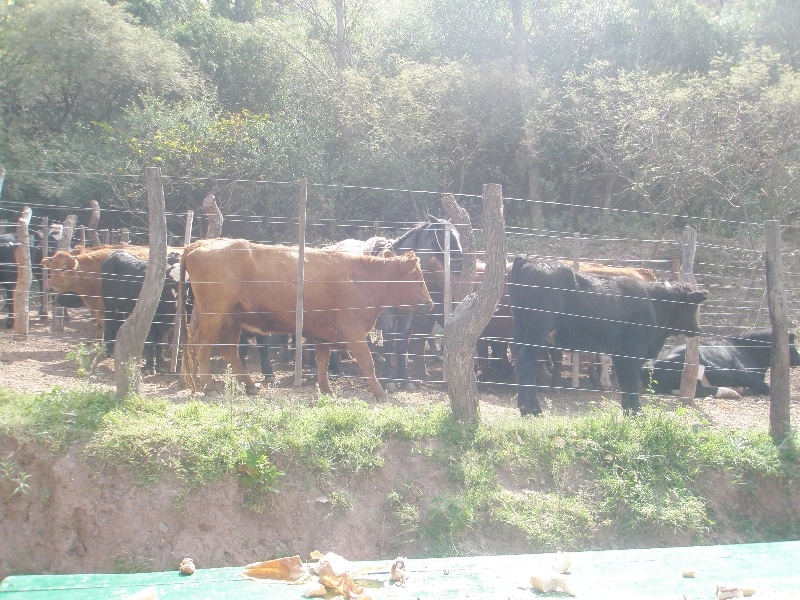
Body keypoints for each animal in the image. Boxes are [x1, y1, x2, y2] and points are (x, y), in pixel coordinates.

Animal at [179, 238, 434, 398]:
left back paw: (250, 385)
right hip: (214, 316)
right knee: (203, 347)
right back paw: (209, 387)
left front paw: (326, 389)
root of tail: (200, 244)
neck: (361, 278)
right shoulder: (353, 331)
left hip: (232, 319)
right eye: (416, 277)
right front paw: (380, 392)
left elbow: (323, 362)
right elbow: (367, 362)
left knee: (228, 349)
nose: (430, 303)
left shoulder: (322, 335)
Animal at [510, 258, 708, 418]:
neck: (653, 304)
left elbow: (624, 382)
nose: (697, 329)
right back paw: (529, 409)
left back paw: (531, 409)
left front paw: (628, 411)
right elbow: (631, 382)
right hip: (537, 332)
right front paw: (638, 413)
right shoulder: (634, 351)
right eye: (690, 306)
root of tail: (528, 260)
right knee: (526, 360)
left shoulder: (620, 354)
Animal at [640, 328, 800, 398]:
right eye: (790, 345)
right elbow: (767, 388)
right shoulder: (743, 374)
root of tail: (646, 366)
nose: (798, 359)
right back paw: (730, 391)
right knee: (699, 391)